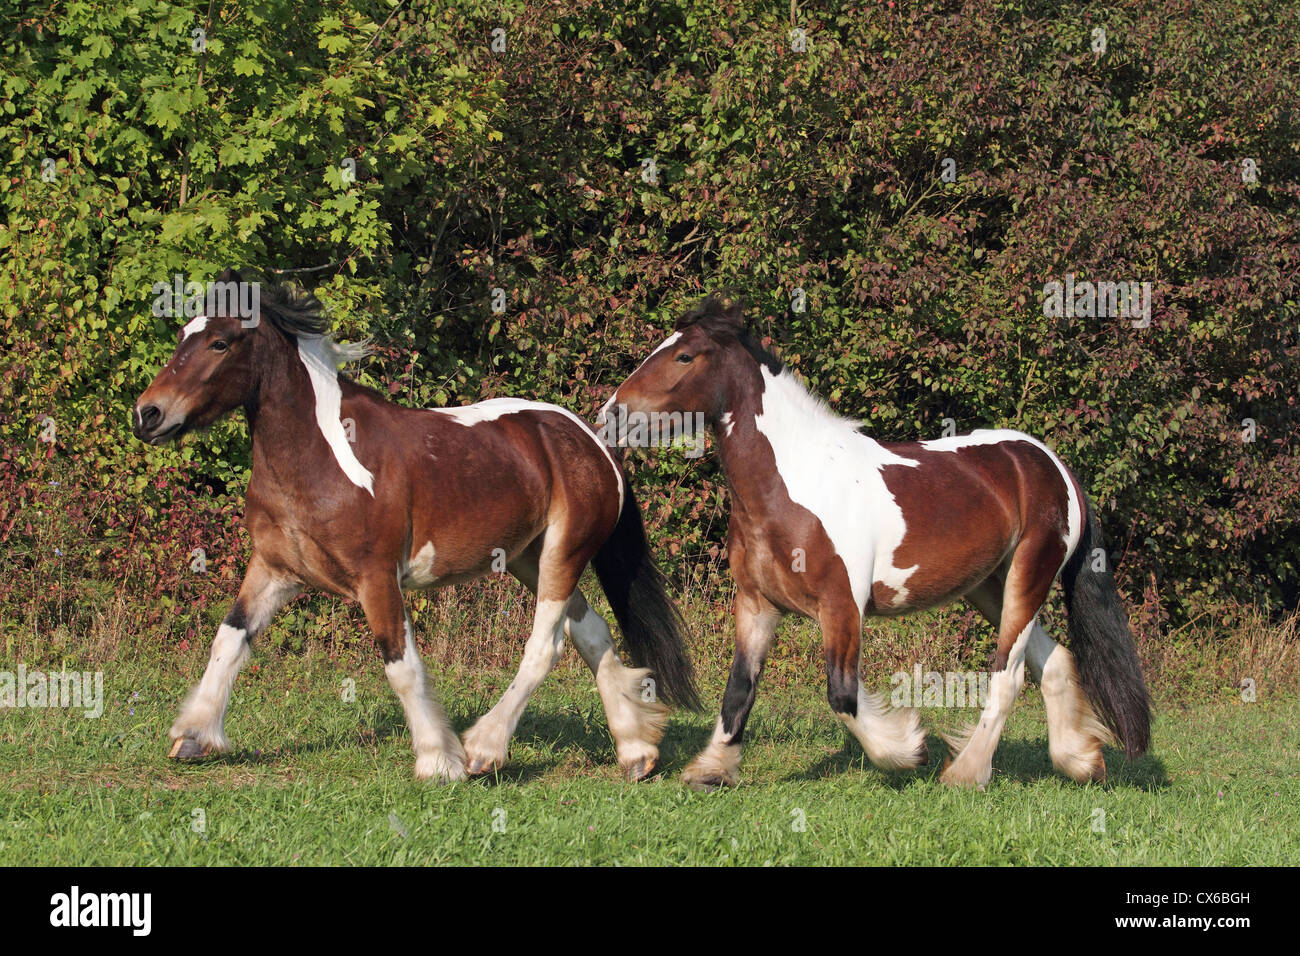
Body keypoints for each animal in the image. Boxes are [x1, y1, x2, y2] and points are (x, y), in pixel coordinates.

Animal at [130, 273, 696, 780]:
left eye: (220, 342)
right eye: (182, 336)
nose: (147, 415)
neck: (321, 455)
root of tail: (593, 441)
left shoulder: (376, 577)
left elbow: (401, 665)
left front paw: (438, 762)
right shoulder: (274, 570)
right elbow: (228, 640)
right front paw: (193, 736)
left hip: (563, 555)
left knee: (545, 646)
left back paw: (483, 751)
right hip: (529, 559)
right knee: (592, 633)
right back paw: (636, 753)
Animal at [603, 299, 1154, 790]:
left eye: (684, 356)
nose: (611, 414)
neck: (794, 484)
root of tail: (1053, 466)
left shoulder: (842, 607)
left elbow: (842, 694)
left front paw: (908, 750)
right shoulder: (757, 605)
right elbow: (739, 689)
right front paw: (710, 771)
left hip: (1028, 577)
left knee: (1008, 675)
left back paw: (965, 775)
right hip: (990, 587)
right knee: (1053, 662)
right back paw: (1081, 762)